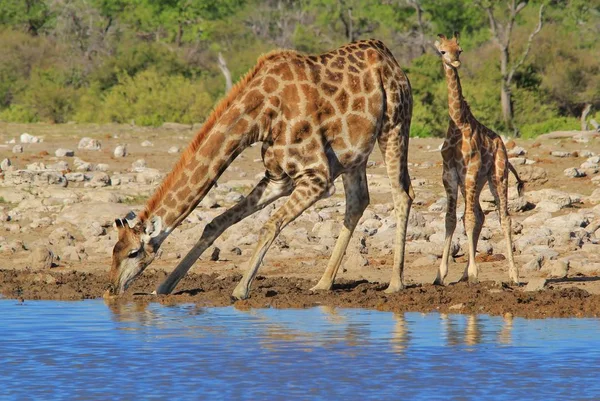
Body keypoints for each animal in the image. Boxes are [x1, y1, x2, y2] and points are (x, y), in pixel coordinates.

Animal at [109, 39, 412, 298]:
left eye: (133, 253)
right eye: (114, 249)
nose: (111, 289)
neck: (259, 117)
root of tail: (388, 56)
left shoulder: (317, 177)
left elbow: (269, 224)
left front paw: (240, 289)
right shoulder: (278, 178)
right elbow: (216, 222)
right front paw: (164, 286)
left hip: (395, 124)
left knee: (402, 194)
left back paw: (395, 284)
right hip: (354, 154)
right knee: (358, 201)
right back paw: (323, 283)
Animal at [434, 32, 524, 286]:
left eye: (460, 49)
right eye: (442, 51)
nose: (455, 62)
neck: (459, 121)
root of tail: (502, 146)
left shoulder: (471, 169)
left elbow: (468, 219)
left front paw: (474, 272)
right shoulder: (449, 173)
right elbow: (451, 219)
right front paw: (441, 274)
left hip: (497, 176)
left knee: (504, 218)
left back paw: (514, 275)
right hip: (475, 182)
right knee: (481, 215)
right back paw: (465, 273)